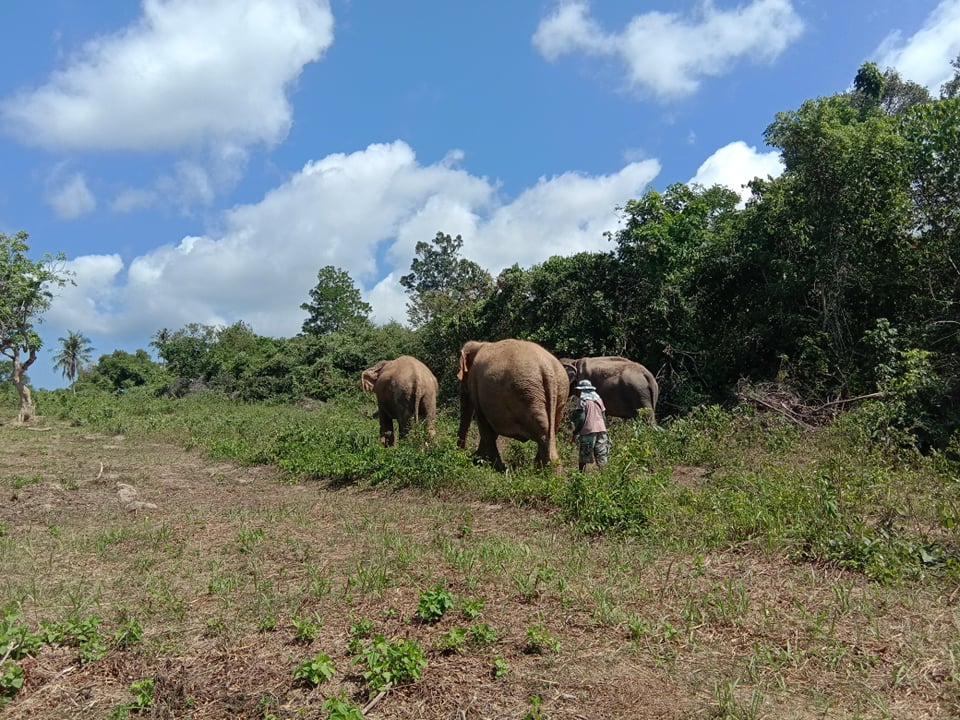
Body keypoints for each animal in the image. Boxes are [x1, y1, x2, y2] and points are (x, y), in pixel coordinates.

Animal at [458, 338, 568, 472]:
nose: (461, 452)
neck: (479, 344)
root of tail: (548, 369)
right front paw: (481, 460)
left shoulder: (476, 387)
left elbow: (485, 426)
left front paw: (493, 466)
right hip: (559, 392)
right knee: (551, 431)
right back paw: (543, 471)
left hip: (528, 394)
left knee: (542, 433)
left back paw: (544, 472)